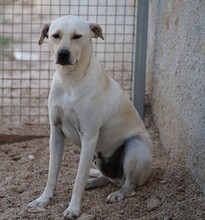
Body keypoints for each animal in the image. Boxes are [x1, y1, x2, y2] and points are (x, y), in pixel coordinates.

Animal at [27, 15, 152, 220]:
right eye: (55, 35)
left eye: (77, 36)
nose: (62, 53)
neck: (70, 80)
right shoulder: (56, 133)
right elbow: (52, 174)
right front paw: (43, 199)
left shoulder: (89, 137)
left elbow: (78, 177)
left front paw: (73, 209)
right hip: (98, 158)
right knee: (105, 178)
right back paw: (92, 182)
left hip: (135, 147)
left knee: (130, 184)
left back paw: (117, 194)